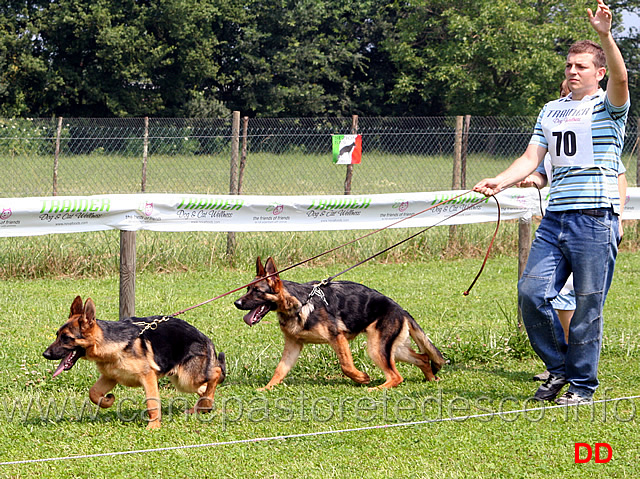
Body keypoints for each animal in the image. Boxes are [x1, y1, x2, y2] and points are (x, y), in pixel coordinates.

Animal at [41, 298, 226, 430]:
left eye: (66, 338)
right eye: (57, 335)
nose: (45, 354)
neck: (109, 343)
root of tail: (204, 337)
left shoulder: (148, 377)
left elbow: (152, 403)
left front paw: (153, 426)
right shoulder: (110, 377)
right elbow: (93, 393)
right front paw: (107, 401)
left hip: (187, 378)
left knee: (216, 373)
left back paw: (205, 404)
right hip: (182, 380)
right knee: (204, 388)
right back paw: (203, 407)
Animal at [235, 258, 444, 390]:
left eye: (257, 291)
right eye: (247, 290)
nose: (236, 303)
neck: (299, 303)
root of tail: (401, 310)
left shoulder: (338, 338)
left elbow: (346, 366)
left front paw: (362, 378)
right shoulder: (293, 345)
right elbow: (280, 369)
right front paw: (267, 388)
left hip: (376, 348)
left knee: (396, 376)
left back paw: (376, 388)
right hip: (393, 349)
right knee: (423, 358)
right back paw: (431, 379)